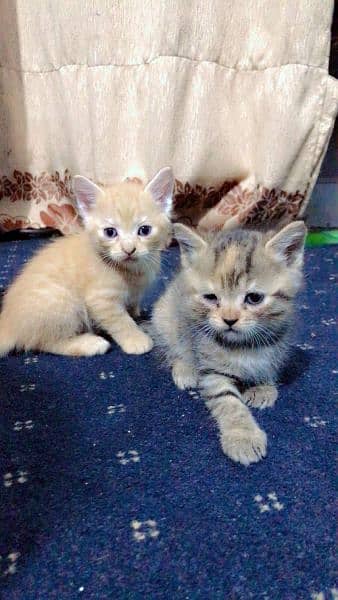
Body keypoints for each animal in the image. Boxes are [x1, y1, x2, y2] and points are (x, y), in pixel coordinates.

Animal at [0, 166, 173, 356]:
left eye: (144, 230)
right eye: (110, 232)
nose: (129, 249)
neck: (131, 271)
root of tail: (8, 323)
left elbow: (133, 303)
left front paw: (135, 312)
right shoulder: (101, 300)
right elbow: (120, 321)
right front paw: (135, 339)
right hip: (62, 302)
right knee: (45, 342)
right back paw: (90, 344)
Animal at [152, 219, 308, 464]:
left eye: (254, 298)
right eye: (211, 297)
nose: (229, 320)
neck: (243, 345)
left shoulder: (282, 337)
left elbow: (269, 363)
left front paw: (263, 385)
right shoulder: (212, 370)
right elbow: (228, 402)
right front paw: (243, 437)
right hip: (164, 316)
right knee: (173, 348)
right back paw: (185, 368)